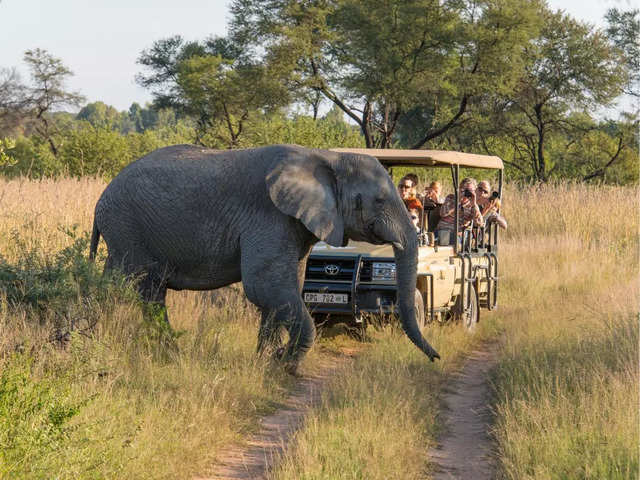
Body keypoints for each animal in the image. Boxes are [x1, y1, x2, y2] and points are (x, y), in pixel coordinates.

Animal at [89, 144, 440, 374]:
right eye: (378, 200)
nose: (436, 359)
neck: (329, 157)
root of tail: (101, 200)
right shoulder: (269, 217)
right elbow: (265, 286)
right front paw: (285, 365)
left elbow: (284, 289)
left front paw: (265, 360)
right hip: (127, 228)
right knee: (135, 288)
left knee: (134, 290)